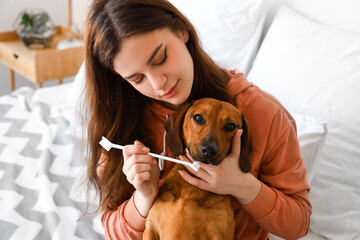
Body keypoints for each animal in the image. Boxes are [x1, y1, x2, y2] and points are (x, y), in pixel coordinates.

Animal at [143, 98, 250, 240]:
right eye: (198, 118)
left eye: (230, 126)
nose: (209, 150)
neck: (191, 189)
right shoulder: (151, 228)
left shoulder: (220, 235)